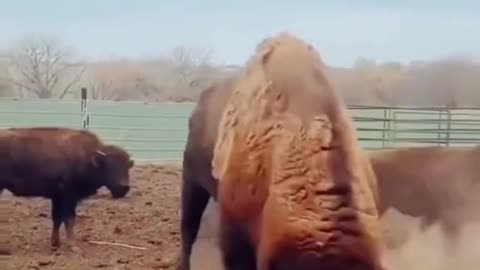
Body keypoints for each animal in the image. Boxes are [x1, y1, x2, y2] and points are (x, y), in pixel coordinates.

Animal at [1, 126, 135, 249]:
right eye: (109, 166)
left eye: (127, 166)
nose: (124, 187)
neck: (87, 157)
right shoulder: (68, 197)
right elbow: (69, 219)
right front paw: (72, 245)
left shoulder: (57, 197)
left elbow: (57, 218)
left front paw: (55, 243)